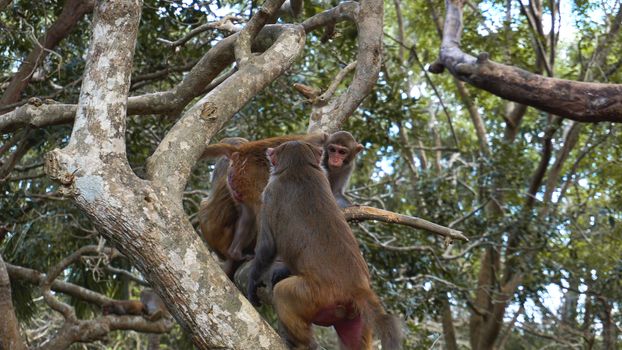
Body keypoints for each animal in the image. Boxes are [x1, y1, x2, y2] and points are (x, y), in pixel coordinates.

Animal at [246, 141, 402, 348]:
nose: (268, 152)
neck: (299, 167)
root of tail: (358, 288)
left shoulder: (270, 192)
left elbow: (267, 247)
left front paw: (251, 284)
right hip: (354, 315)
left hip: (315, 296)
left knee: (283, 293)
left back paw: (303, 343)